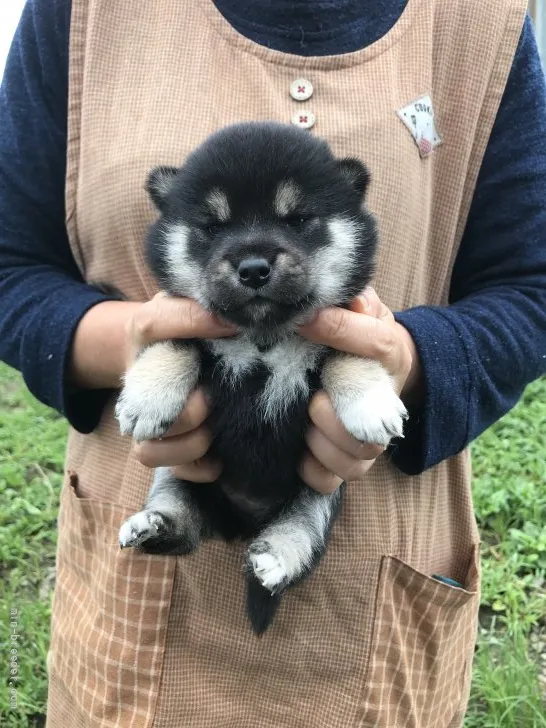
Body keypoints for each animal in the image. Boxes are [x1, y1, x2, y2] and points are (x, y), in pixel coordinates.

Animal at [115, 122, 406, 636]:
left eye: (298, 219)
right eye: (213, 227)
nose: (252, 268)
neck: (263, 339)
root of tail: (242, 523)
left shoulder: (342, 323)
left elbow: (347, 354)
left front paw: (371, 402)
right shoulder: (188, 323)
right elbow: (173, 343)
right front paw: (147, 397)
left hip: (319, 497)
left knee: (298, 537)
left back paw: (274, 559)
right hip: (177, 476)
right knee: (183, 525)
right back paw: (153, 527)